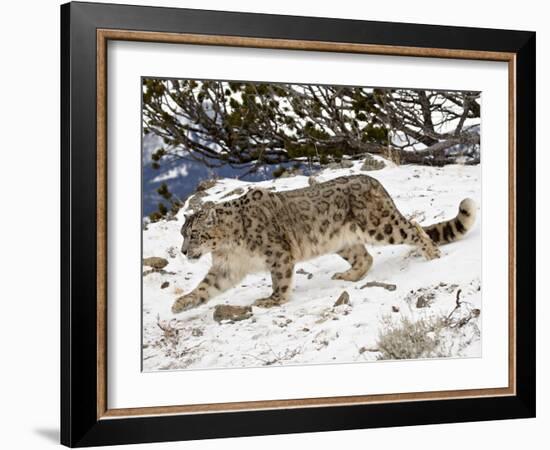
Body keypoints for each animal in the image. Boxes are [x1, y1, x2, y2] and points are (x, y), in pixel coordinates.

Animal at [170, 174, 476, 314]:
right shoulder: (227, 267)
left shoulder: (277, 254)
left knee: (412, 226)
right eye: (182, 233)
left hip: (380, 226)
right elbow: (206, 286)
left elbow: (280, 280)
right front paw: (182, 303)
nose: (184, 250)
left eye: (194, 234)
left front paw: (272, 300)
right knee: (365, 258)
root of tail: (374, 181)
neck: (228, 247)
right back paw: (346, 276)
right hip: (343, 241)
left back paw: (432, 254)